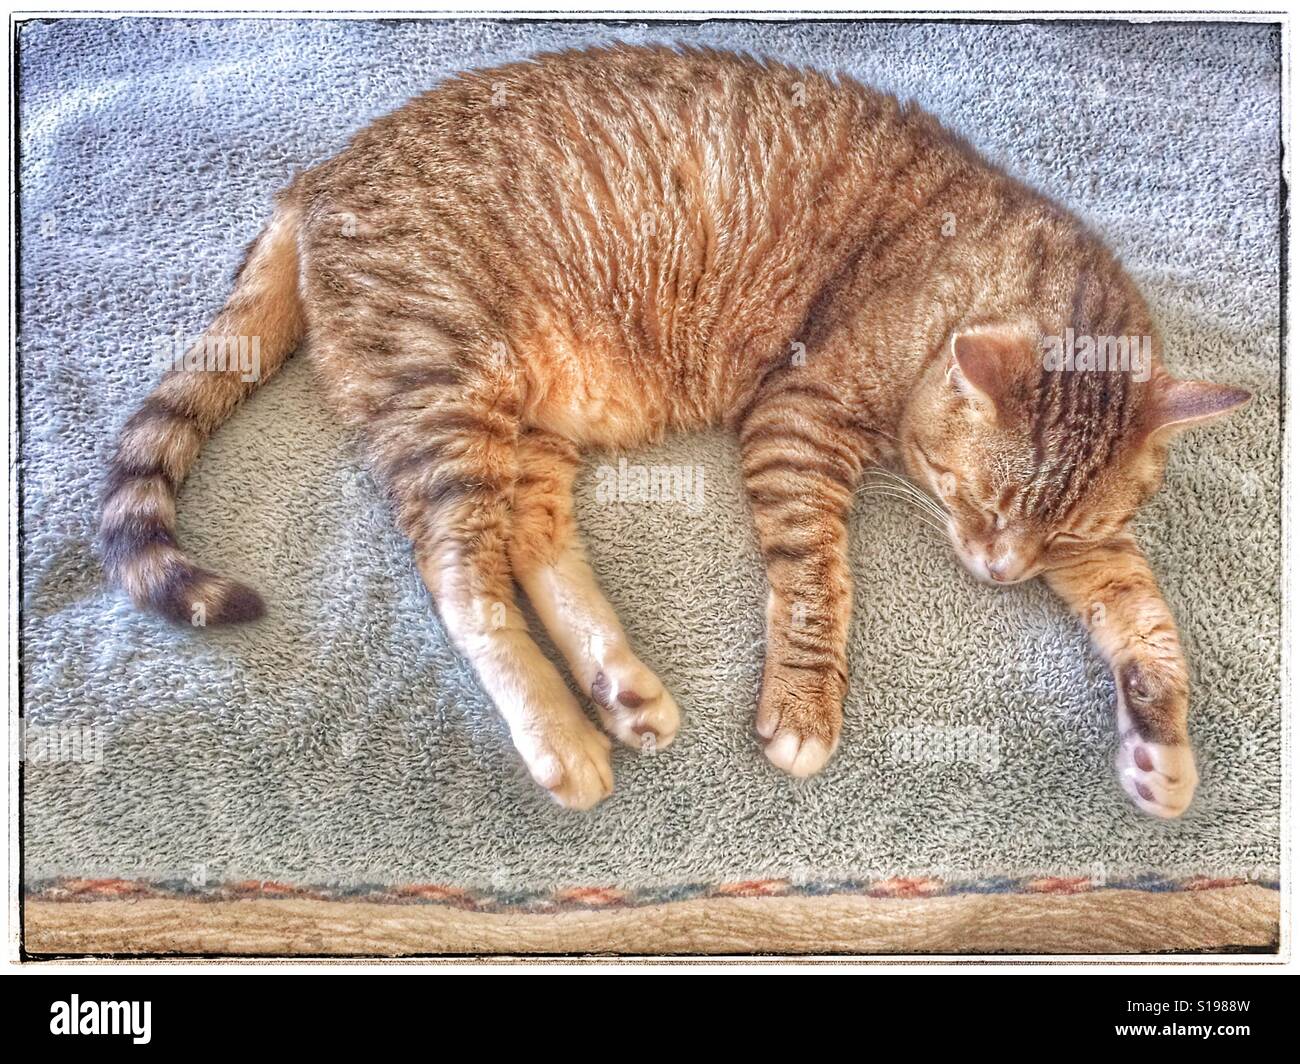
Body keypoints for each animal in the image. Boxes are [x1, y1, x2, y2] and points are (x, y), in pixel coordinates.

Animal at [98, 45, 1248, 811]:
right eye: (975, 498)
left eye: (1056, 531)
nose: (1002, 572)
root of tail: (320, 173)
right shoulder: (796, 418)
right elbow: (816, 581)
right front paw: (804, 704)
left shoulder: (1096, 546)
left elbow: (1148, 619)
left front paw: (1161, 745)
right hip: (445, 395)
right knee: (463, 577)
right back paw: (561, 733)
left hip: (524, 422)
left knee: (529, 540)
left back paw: (619, 683)